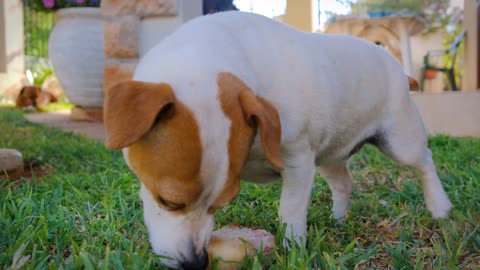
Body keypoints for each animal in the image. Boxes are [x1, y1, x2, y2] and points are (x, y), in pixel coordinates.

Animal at [103, 11, 452, 270]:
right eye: (168, 202)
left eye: (223, 203)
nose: (196, 263)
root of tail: (393, 62)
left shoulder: (298, 164)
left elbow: (290, 212)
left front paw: (293, 249)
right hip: (329, 156)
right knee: (344, 183)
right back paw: (339, 219)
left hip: (400, 140)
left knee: (425, 161)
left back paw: (440, 206)